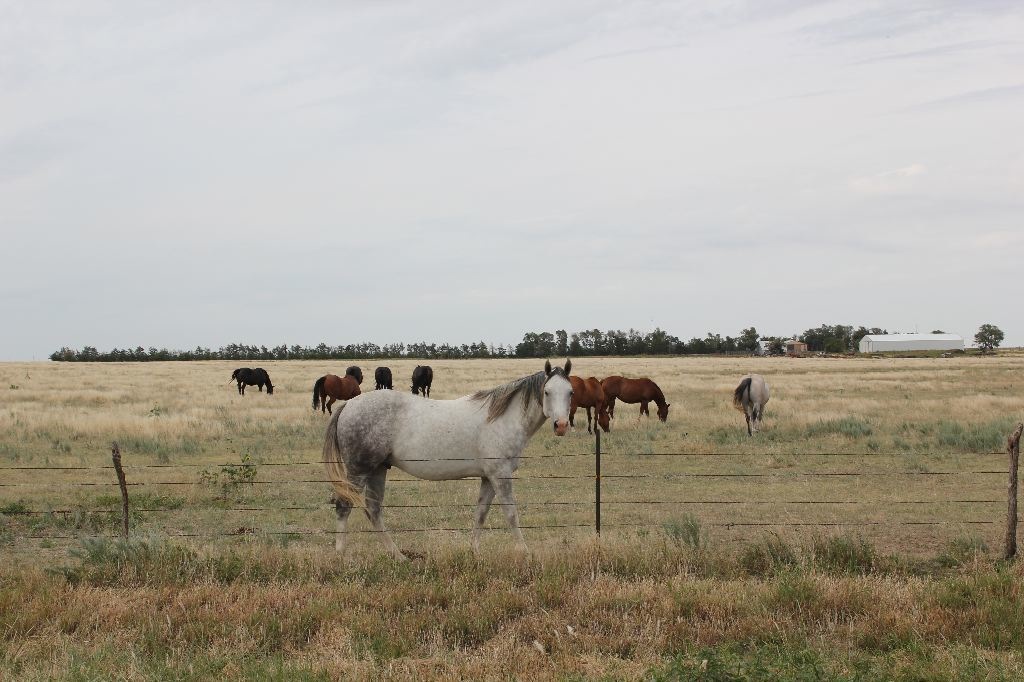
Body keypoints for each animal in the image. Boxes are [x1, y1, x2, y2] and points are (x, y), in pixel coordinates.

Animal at [323, 359, 574, 558]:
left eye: (570, 392)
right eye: (547, 392)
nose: (561, 425)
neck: (502, 418)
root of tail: (348, 405)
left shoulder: (488, 477)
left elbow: (480, 514)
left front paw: (474, 552)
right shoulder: (500, 475)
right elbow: (511, 514)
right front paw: (525, 553)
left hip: (378, 469)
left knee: (373, 510)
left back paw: (398, 556)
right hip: (359, 470)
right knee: (344, 506)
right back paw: (341, 556)